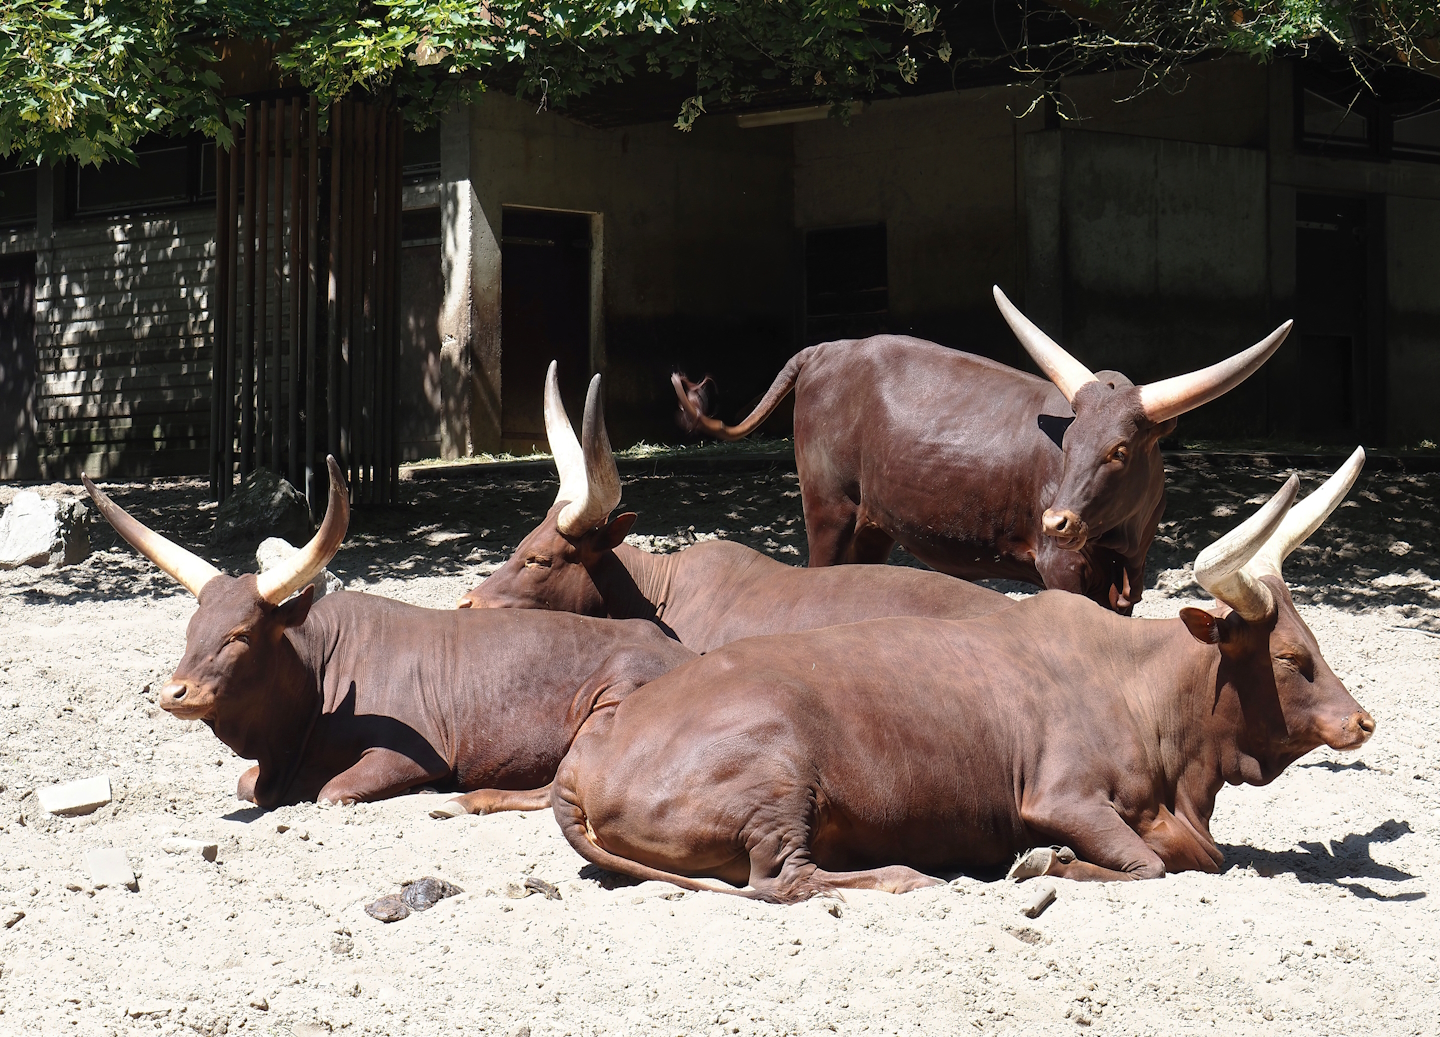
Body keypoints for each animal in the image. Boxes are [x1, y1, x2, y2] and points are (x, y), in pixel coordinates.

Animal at [82, 458, 695, 815]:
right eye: (190, 629)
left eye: (241, 635)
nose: (174, 693)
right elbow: (245, 784)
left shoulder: (411, 757)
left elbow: (331, 792)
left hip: (608, 706)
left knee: (559, 786)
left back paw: (465, 800)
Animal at [549, 449, 1373, 900]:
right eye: (1290, 659)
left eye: (1312, 641)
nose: (1362, 720)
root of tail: (587, 755)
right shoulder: (1063, 796)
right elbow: (1144, 865)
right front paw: (1047, 862)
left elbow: (1194, 857)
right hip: (778, 782)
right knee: (783, 879)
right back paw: (905, 875)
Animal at [672, 286, 1291, 615]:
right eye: (1067, 442)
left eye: (1119, 451)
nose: (1058, 521)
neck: (1121, 538)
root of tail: (825, 349)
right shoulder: (1062, 567)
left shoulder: (1131, 576)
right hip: (828, 509)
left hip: (872, 526)